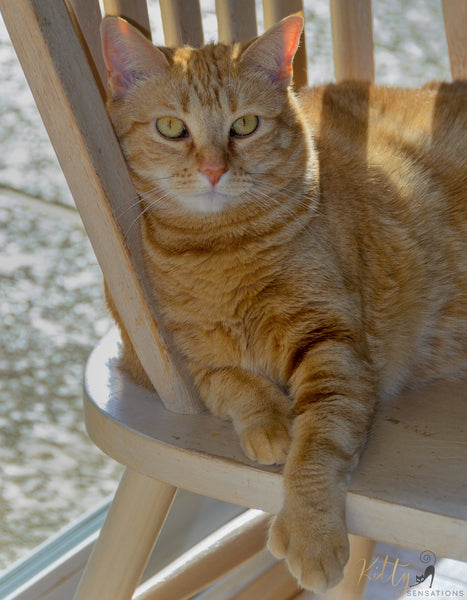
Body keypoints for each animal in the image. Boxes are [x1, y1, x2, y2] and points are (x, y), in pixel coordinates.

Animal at [100, 16, 466, 592]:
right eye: (172, 128)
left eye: (245, 125)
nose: (213, 170)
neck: (221, 250)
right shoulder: (164, 359)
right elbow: (228, 382)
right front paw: (271, 423)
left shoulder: (334, 346)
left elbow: (318, 441)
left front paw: (310, 532)